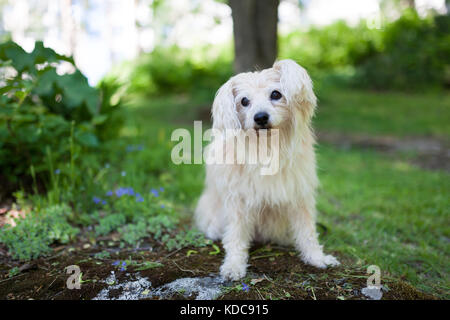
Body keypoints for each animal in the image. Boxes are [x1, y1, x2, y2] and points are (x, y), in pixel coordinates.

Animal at [193, 59, 338, 280]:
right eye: (244, 101)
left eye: (276, 94)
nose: (260, 117)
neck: (267, 147)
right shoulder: (238, 202)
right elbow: (236, 237)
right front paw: (234, 265)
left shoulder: (299, 197)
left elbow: (307, 232)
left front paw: (316, 258)